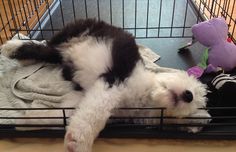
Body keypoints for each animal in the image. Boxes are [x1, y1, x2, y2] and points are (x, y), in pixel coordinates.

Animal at [0, 19, 210, 152]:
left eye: (195, 106)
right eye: (190, 82)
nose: (189, 95)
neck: (143, 96)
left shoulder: (83, 97)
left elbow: (67, 112)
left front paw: (27, 121)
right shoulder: (114, 81)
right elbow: (96, 110)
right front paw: (78, 141)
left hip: (63, 54)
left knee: (48, 53)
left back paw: (22, 56)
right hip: (75, 30)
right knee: (45, 44)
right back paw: (12, 47)